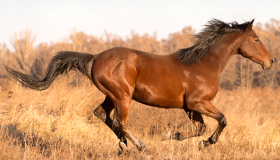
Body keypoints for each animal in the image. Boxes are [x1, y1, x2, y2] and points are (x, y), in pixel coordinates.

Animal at [6, 18, 274, 151]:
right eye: (256, 39)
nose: (270, 61)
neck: (203, 64)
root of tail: (96, 57)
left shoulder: (190, 107)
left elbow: (199, 128)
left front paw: (175, 135)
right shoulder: (198, 102)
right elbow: (222, 120)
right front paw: (206, 143)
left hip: (112, 96)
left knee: (101, 114)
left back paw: (124, 145)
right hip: (123, 97)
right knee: (119, 122)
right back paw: (140, 146)